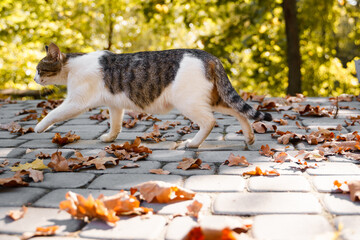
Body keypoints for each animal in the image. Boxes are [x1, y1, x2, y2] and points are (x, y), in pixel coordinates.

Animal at [33, 43, 272, 148]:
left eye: (39, 69)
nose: (34, 78)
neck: (71, 66)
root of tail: (209, 56)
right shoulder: (115, 105)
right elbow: (116, 124)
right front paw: (110, 138)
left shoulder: (76, 102)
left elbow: (53, 114)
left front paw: (38, 127)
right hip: (215, 98)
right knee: (239, 111)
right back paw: (249, 137)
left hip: (188, 102)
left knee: (209, 121)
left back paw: (194, 143)